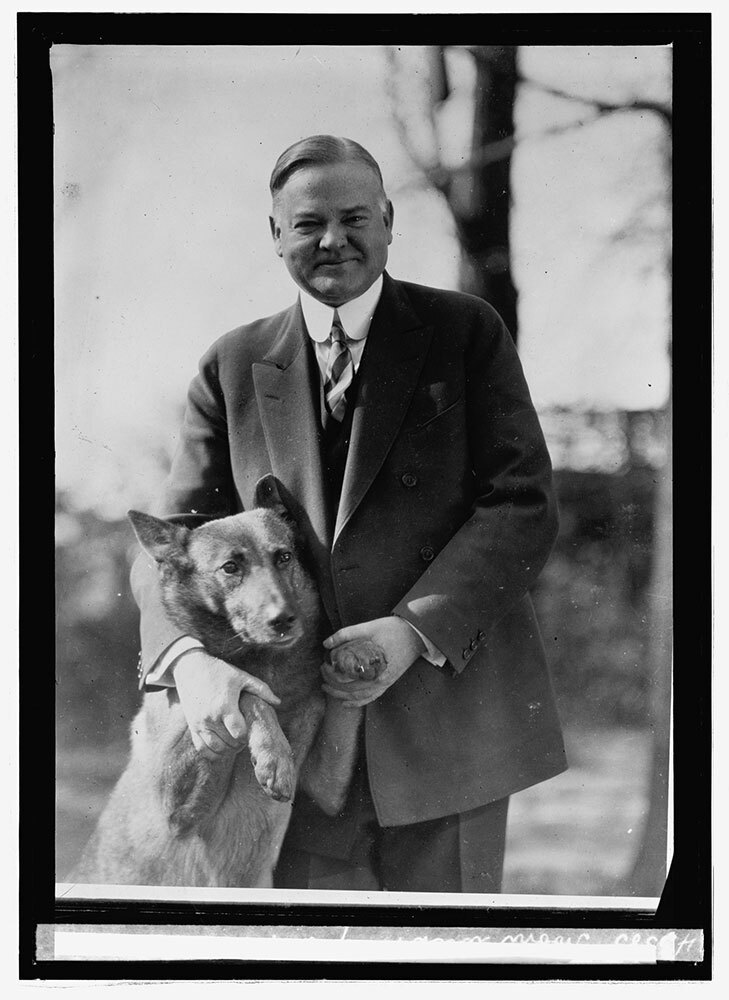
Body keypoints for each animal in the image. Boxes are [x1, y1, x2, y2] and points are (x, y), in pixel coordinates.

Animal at [69, 478, 386, 892]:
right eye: (230, 567)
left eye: (283, 557)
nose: (284, 620)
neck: (265, 661)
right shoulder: (176, 805)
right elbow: (248, 692)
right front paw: (274, 755)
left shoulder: (325, 787)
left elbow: (339, 701)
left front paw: (352, 651)